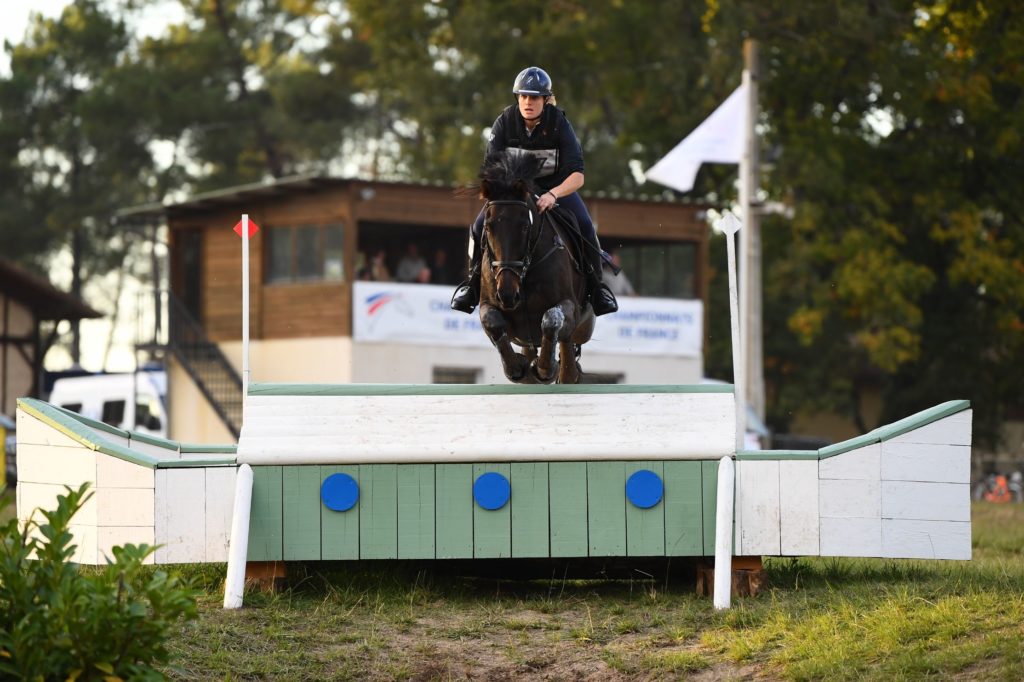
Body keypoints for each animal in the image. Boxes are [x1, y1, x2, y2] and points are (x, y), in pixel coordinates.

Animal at [471, 152, 593, 382]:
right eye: (488, 228)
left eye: (524, 227)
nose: (508, 294)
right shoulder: (487, 305)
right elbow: (493, 323)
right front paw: (516, 368)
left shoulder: (570, 306)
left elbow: (552, 319)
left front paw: (545, 368)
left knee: (568, 351)